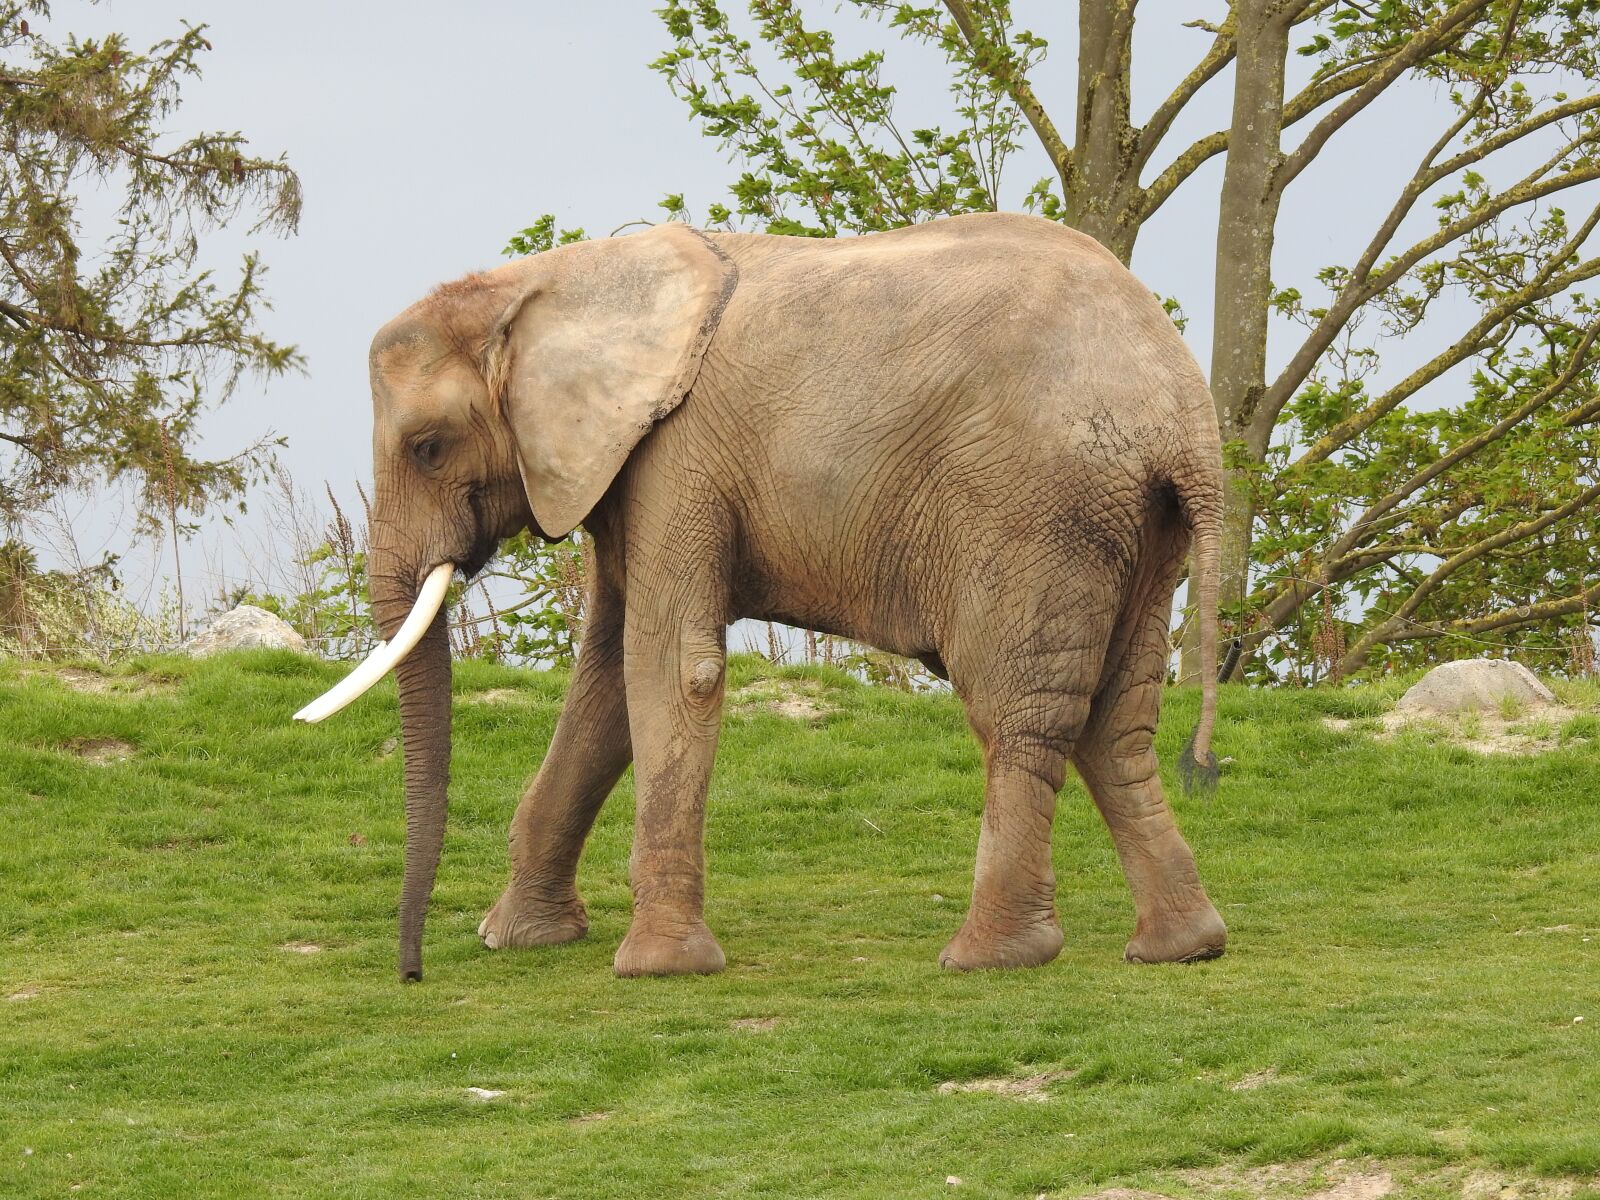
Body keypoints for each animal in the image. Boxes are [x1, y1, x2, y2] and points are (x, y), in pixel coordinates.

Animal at [295, 211, 1226, 982]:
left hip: (1034, 510)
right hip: (1136, 528)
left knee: (1017, 714)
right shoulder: (630, 470)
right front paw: (519, 941)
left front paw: (657, 970)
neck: (543, 283)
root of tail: (1185, 413)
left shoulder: (675, 455)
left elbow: (668, 669)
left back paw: (988, 958)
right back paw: (1181, 947)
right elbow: (604, 687)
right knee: (1115, 721)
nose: (412, 973)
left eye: (427, 447)